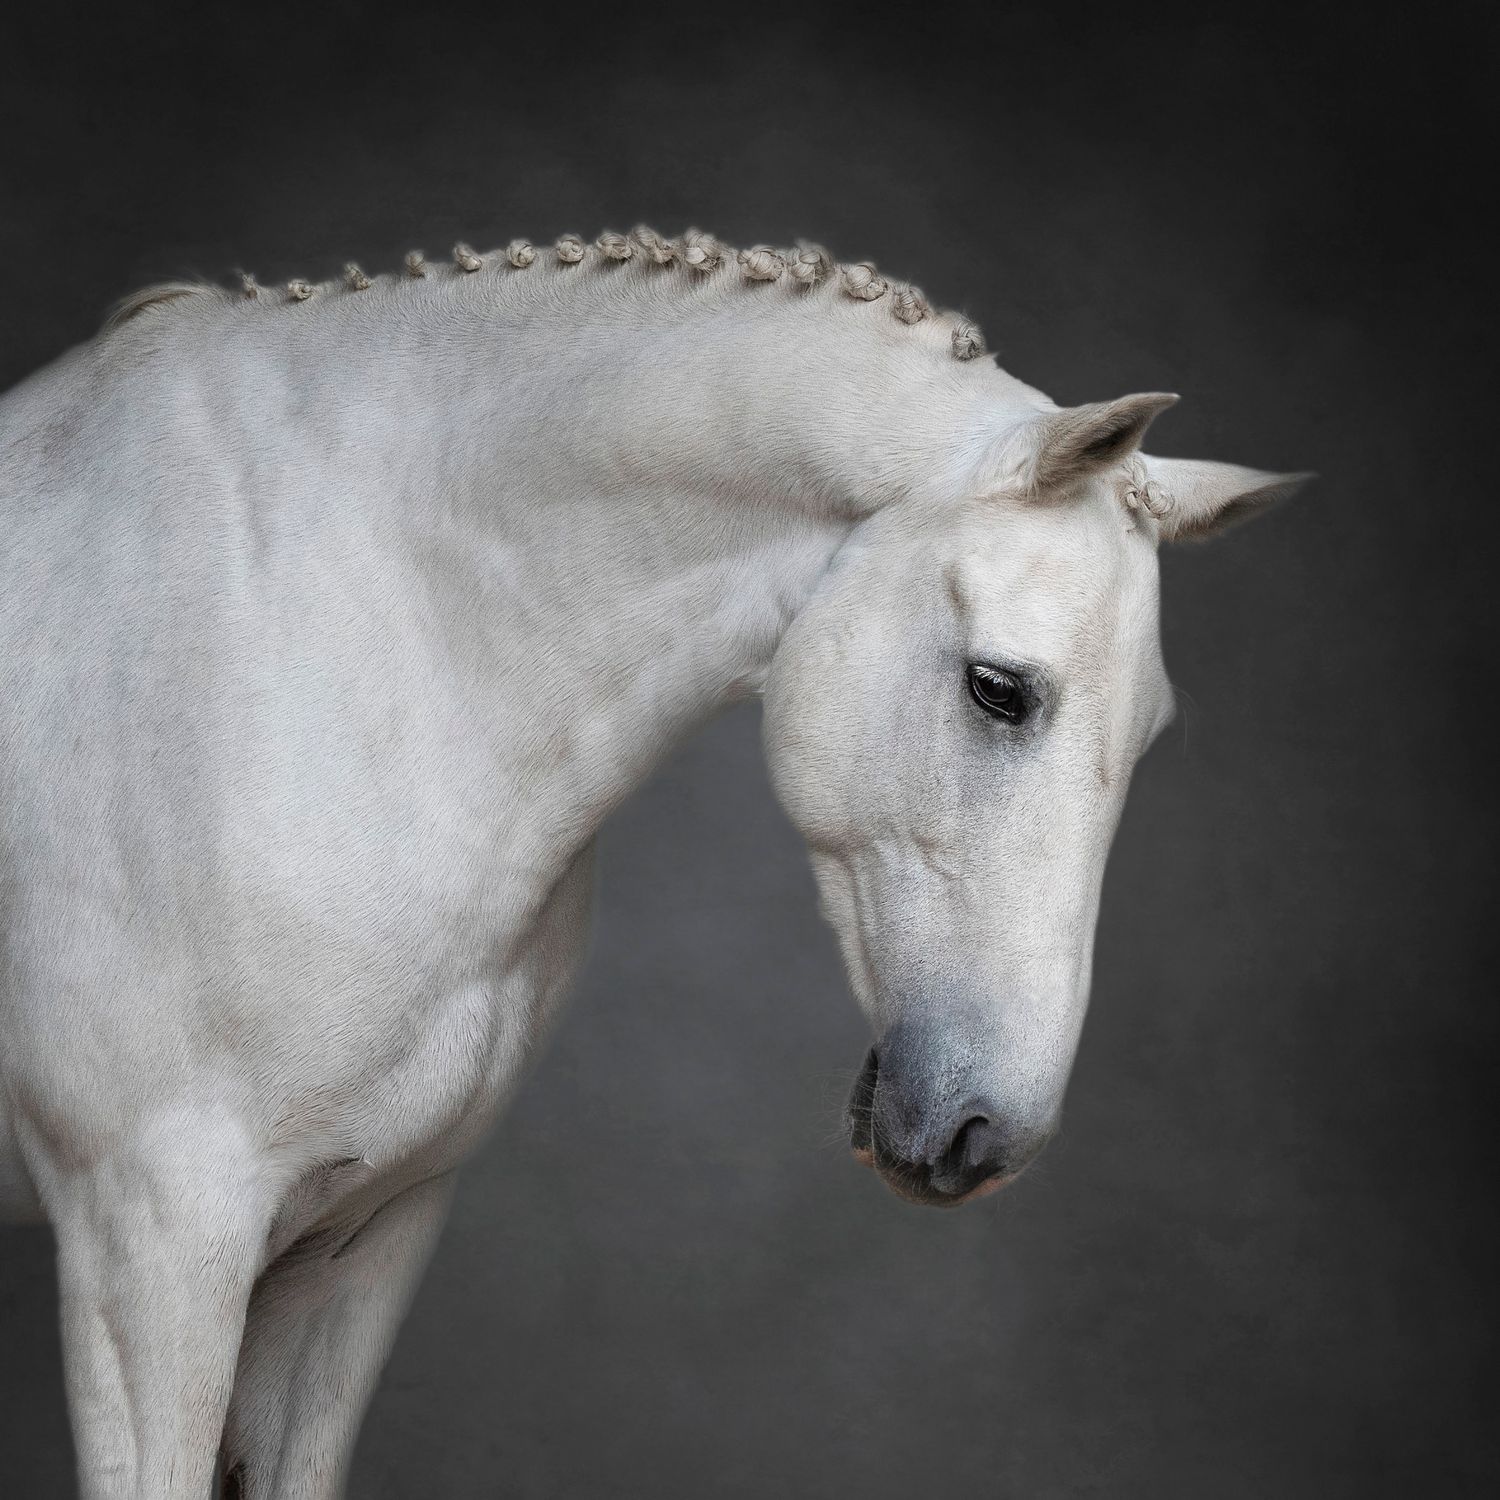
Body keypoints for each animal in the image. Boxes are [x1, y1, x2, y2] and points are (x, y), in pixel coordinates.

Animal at [0, 225, 1308, 1498]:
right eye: (1000, 688)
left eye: (1149, 733)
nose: (991, 1132)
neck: (345, 645)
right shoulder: (152, 1248)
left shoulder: (359, 1241)